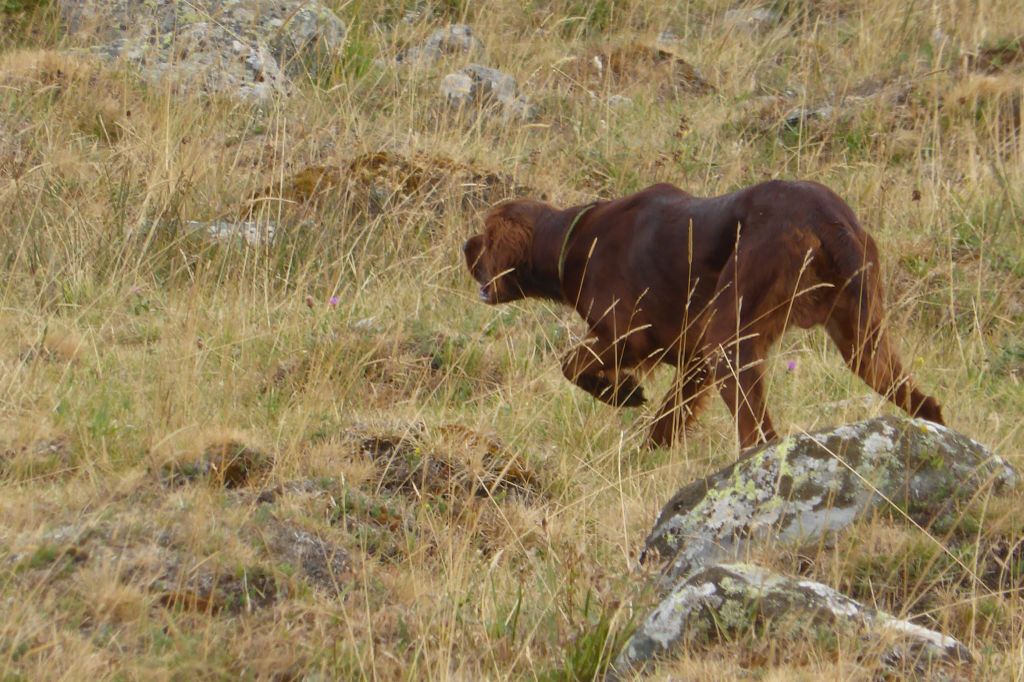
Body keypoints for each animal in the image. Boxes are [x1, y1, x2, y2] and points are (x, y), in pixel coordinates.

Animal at [464, 180, 942, 446]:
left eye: (484, 235)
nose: (464, 247)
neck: (575, 240)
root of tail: (827, 220)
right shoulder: (693, 361)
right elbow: (665, 421)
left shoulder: (630, 335)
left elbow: (571, 365)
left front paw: (624, 393)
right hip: (862, 340)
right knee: (927, 403)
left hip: (729, 342)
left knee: (759, 435)